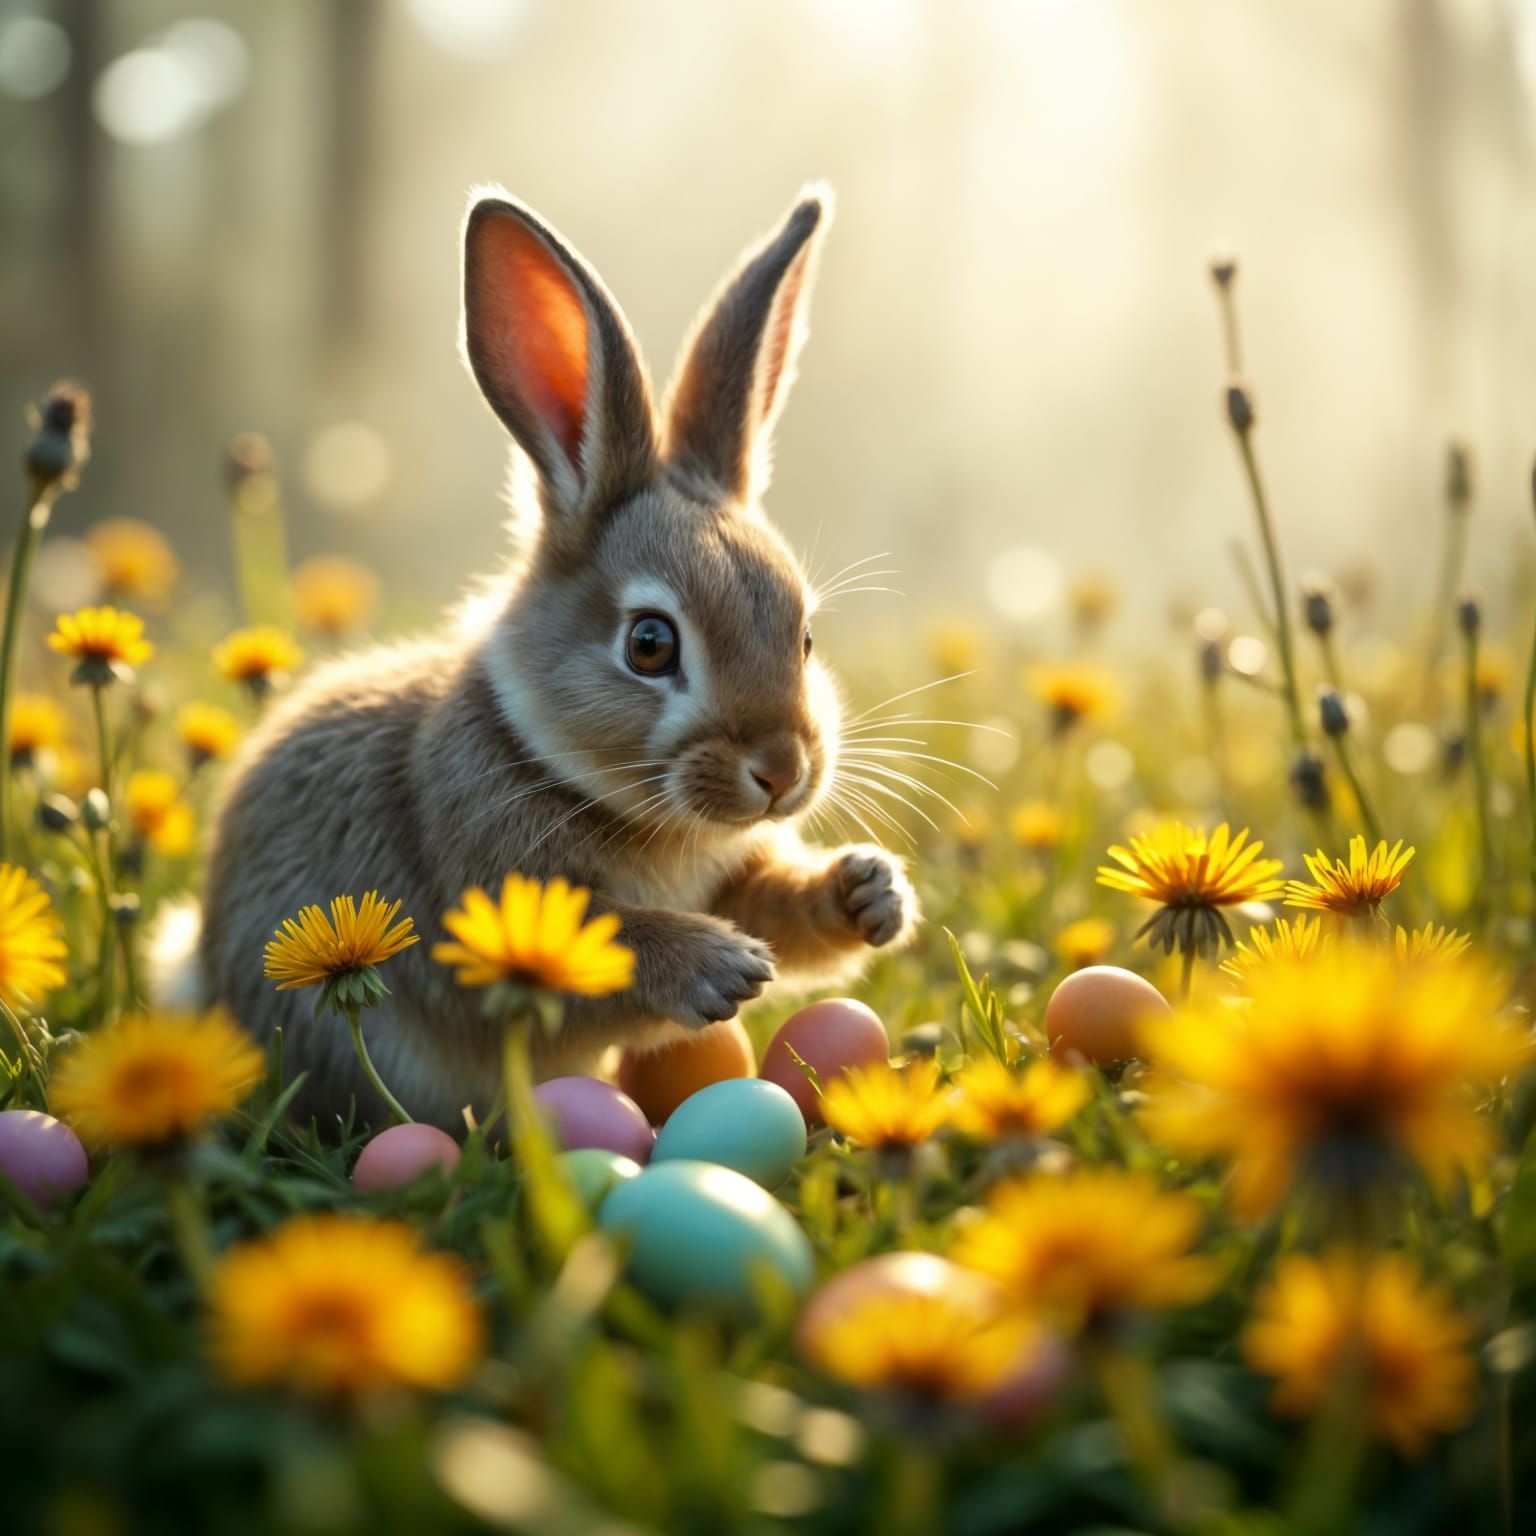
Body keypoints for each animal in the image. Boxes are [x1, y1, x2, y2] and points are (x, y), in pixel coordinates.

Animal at [158, 184, 919, 1132]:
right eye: (650, 644)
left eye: (804, 635)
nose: (781, 772)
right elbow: (599, 946)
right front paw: (720, 967)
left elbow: (773, 905)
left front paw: (869, 894)